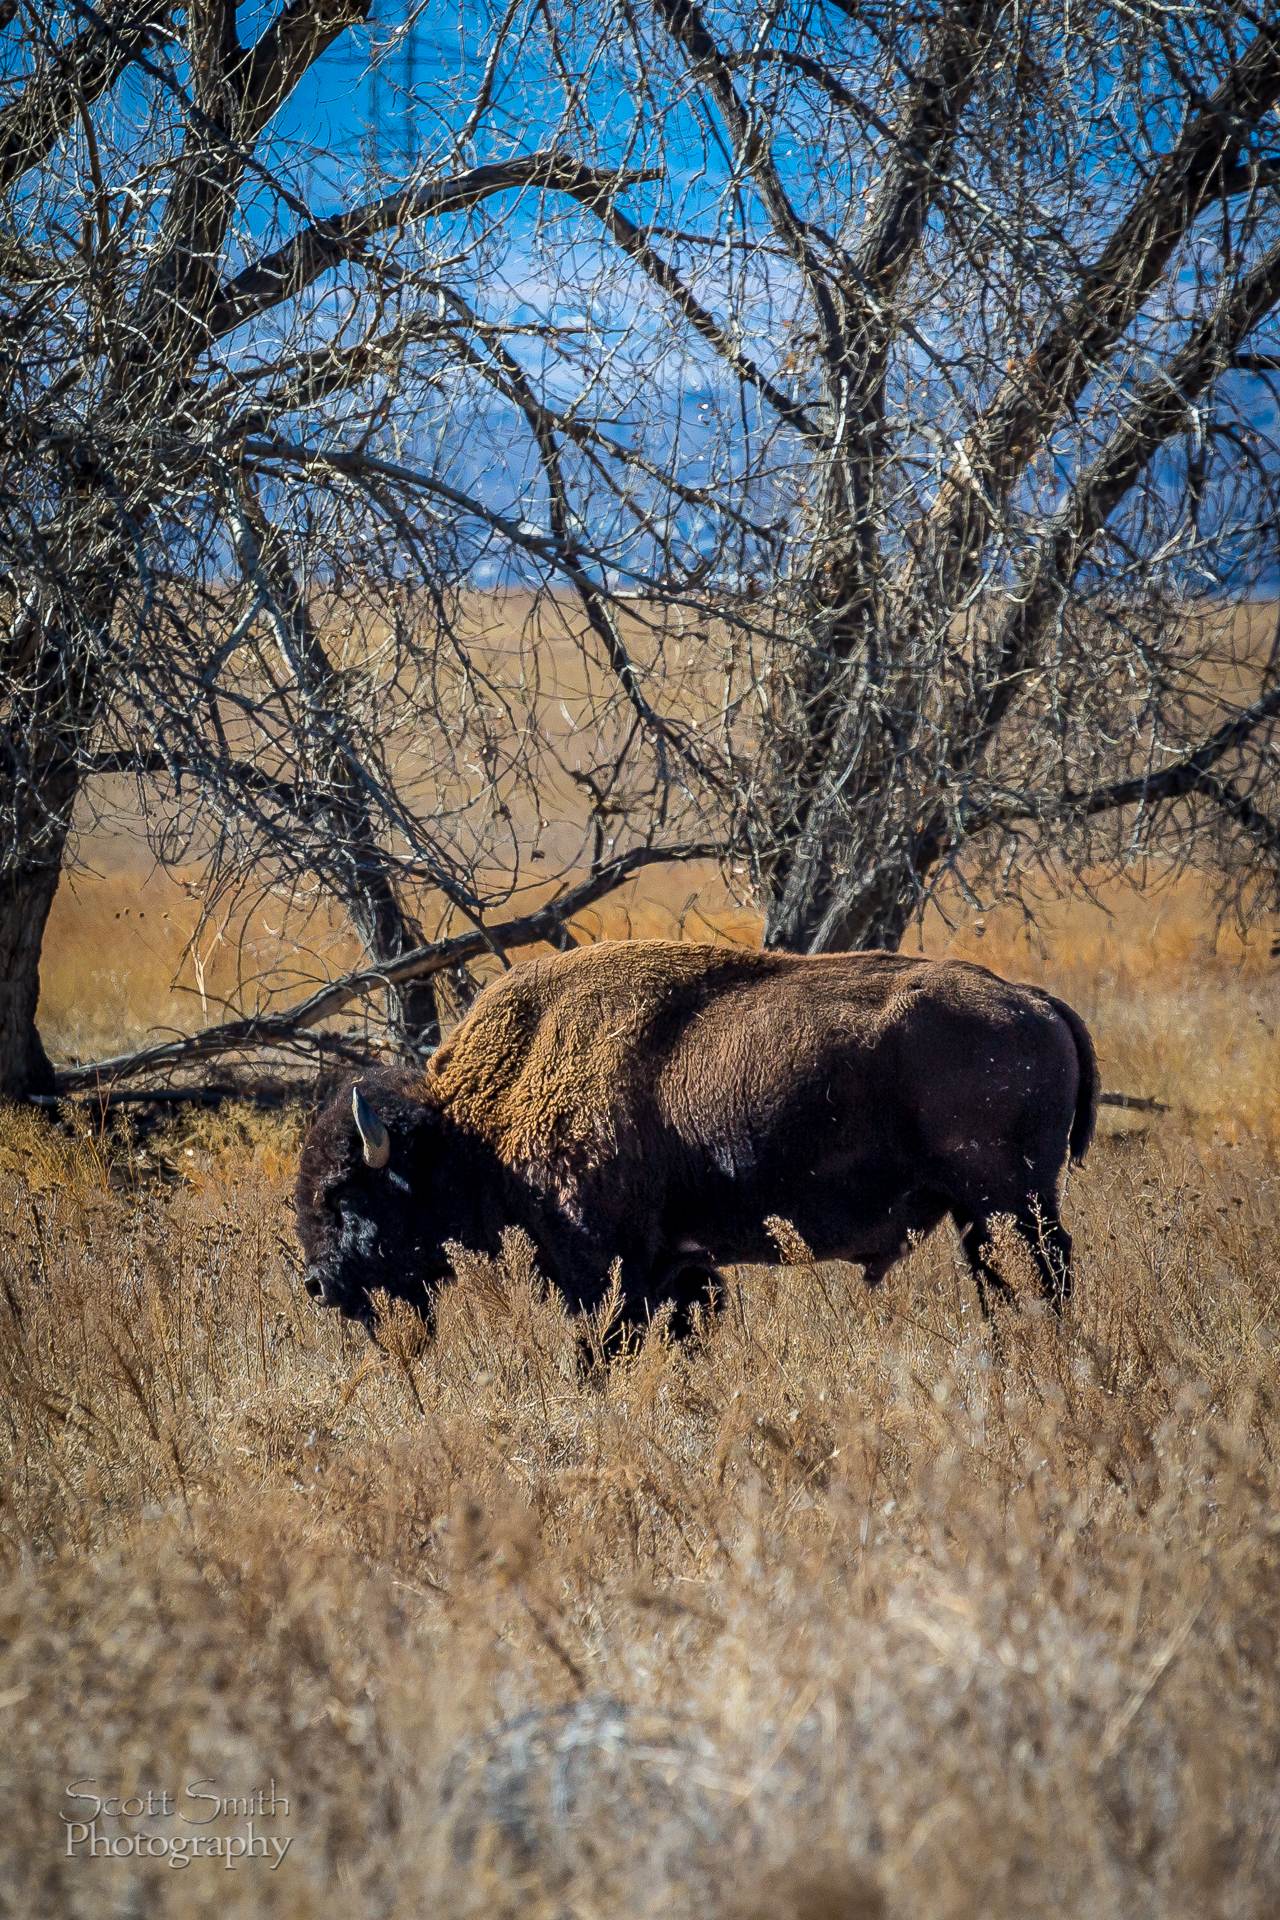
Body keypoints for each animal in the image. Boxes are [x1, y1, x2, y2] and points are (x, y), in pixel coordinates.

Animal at [295, 940, 1097, 1336]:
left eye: (347, 1194)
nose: (318, 1285)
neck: (472, 1120)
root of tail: (1034, 1001)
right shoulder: (676, 1267)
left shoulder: (601, 1265)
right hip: (983, 1211)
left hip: (1009, 1198)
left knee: (1046, 1268)